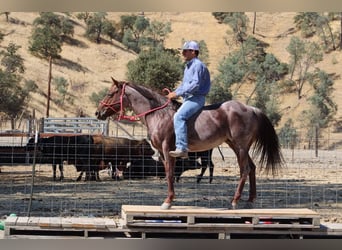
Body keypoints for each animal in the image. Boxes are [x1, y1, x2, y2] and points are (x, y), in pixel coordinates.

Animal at [95, 77, 284, 209]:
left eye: (110, 93)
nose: (98, 112)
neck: (158, 114)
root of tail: (251, 109)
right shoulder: (161, 153)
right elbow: (168, 173)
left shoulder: (167, 149)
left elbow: (170, 174)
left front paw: (168, 201)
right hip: (236, 146)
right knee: (251, 168)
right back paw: (250, 200)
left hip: (241, 147)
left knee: (244, 170)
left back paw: (235, 200)